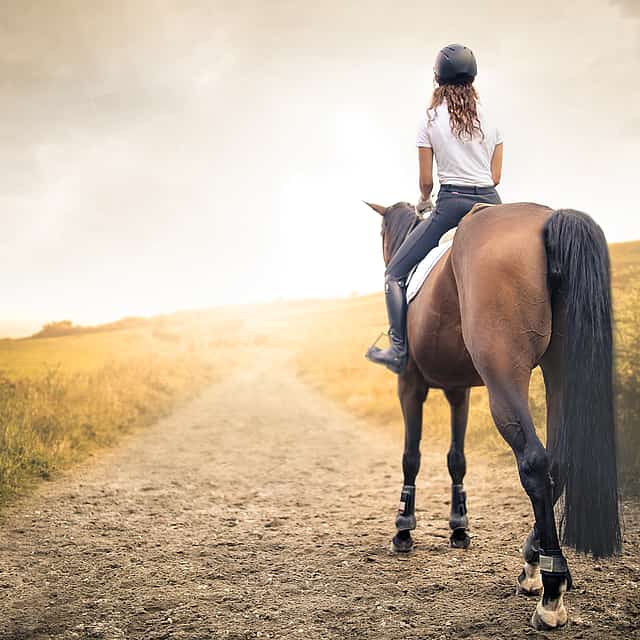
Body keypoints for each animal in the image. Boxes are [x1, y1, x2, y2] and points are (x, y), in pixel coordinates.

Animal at [364, 201, 621, 630]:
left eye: (382, 234)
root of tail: (547, 219)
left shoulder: (410, 386)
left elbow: (411, 457)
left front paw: (404, 529)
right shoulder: (459, 391)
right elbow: (457, 459)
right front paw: (458, 527)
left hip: (504, 374)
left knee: (535, 463)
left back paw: (550, 592)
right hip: (560, 366)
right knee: (561, 462)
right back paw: (534, 566)